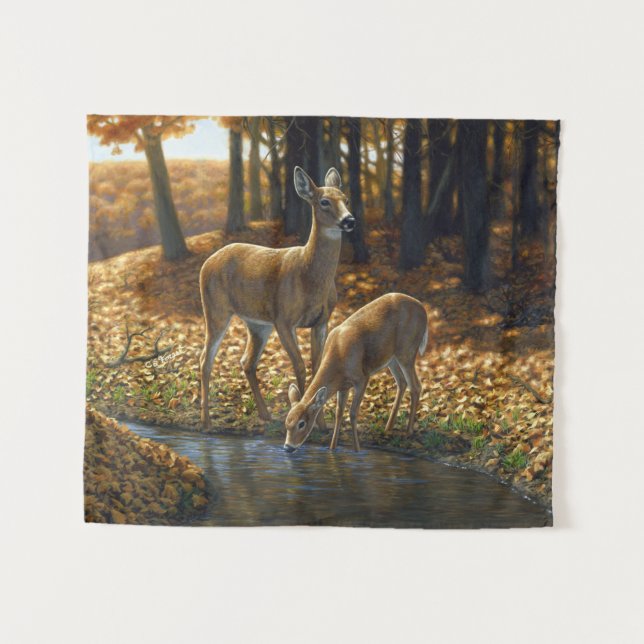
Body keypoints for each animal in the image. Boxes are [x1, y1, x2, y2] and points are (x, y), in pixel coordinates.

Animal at [199, 166, 355, 430]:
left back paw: (265, 414)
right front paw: (307, 421)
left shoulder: (321, 321)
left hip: (257, 324)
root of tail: (205, 263)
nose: (349, 220)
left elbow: (317, 369)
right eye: (324, 201)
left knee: (246, 361)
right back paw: (206, 422)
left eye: (345, 199)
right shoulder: (284, 319)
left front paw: (322, 425)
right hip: (216, 309)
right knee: (205, 360)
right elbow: (300, 367)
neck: (310, 278)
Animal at [283, 292, 428, 453]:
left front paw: (357, 449)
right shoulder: (343, 386)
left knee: (416, 386)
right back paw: (388, 427)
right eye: (286, 422)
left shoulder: (362, 378)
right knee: (402, 382)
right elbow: (339, 413)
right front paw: (332, 448)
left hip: (407, 350)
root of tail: (423, 309)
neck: (338, 355)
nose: (288, 447)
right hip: (391, 358)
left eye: (301, 423)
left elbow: (352, 413)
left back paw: (408, 432)